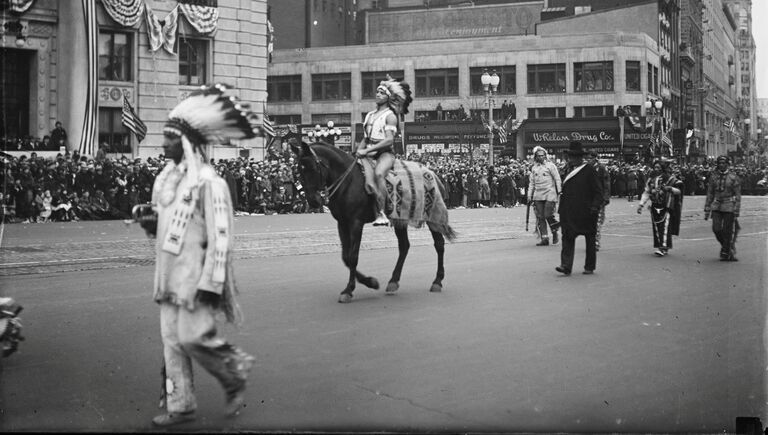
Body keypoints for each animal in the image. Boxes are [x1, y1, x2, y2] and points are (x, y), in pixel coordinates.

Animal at [292, 141, 452, 304]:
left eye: (312, 168)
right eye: (299, 170)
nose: (313, 201)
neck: (348, 181)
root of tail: (432, 173)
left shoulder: (356, 223)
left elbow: (353, 257)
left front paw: (349, 290)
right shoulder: (342, 223)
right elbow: (345, 257)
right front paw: (370, 282)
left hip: (432, 216)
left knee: (439, 244)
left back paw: (437, 281)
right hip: (400, 219)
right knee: (404, 246)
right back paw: (393, 281)